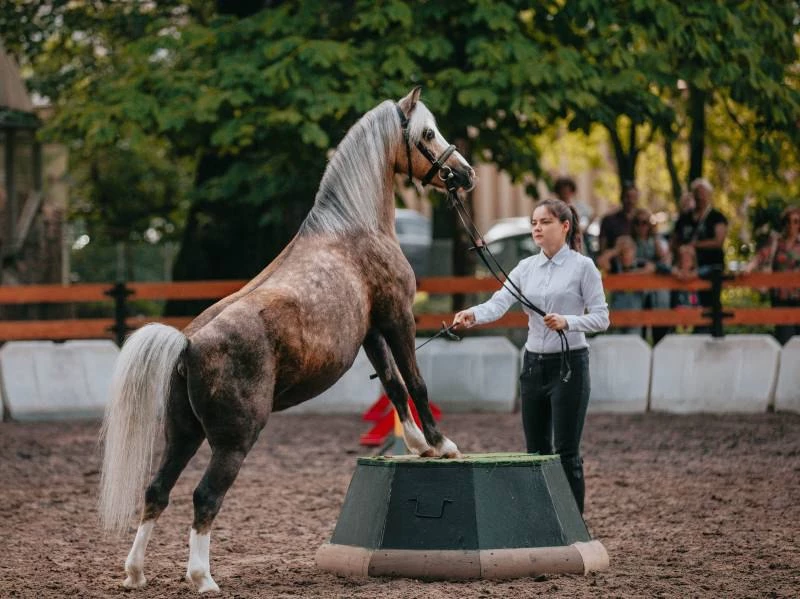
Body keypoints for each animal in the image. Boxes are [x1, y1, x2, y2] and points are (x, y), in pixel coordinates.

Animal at [100, 86, 476, 592]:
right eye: (429, 133)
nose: (466, 174)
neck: (353, 228)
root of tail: (188, 345)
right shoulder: (397, 317)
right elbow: (414, 382)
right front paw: (441, 445)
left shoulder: (370, 331)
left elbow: (393, 385)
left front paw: (416, 445)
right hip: (234, 441)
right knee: (204, 497)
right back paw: (202, 577)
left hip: (183, 434)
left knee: (157, 490)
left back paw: (136, 572)